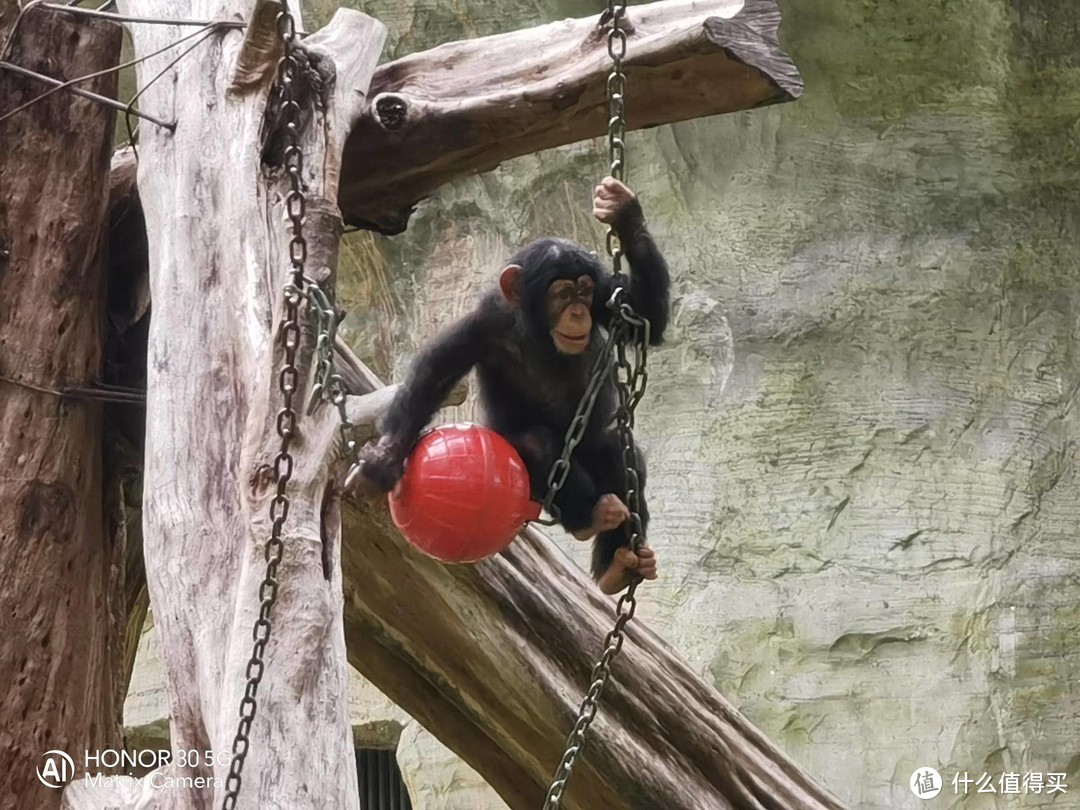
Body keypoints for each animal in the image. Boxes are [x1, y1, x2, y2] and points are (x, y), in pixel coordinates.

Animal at [358, 177, 669, 596]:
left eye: (584, 290)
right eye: (561, 293)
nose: (578, 311)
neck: (537, 331)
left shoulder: (609, 295)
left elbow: (643, 316)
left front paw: (621, 210)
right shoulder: (483, 322)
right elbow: (435, 373)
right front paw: (385, 459)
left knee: (622, 455)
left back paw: (618, 566)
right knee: (537, 443)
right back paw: (591, 518)